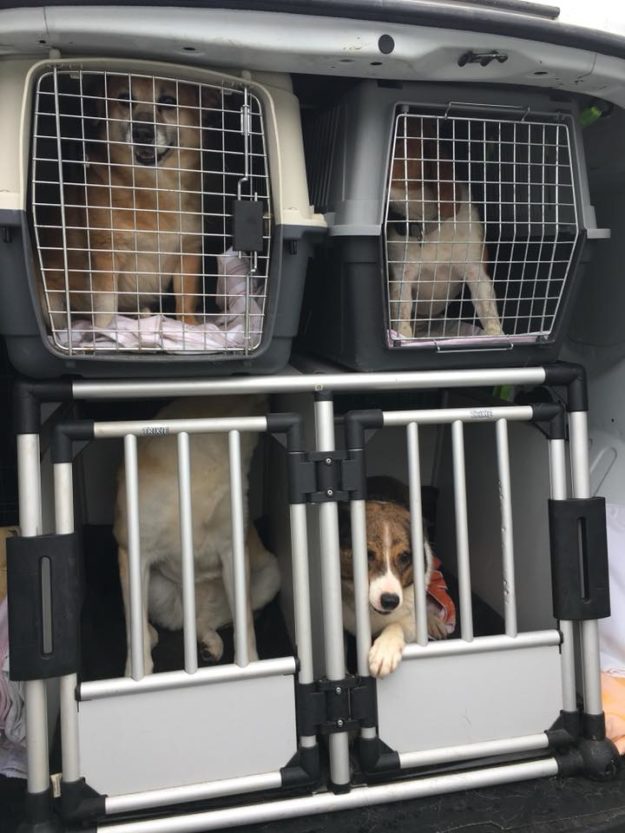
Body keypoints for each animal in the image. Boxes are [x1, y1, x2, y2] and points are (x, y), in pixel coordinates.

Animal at [39, 74, 213, 331]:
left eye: (168, 101)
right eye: (125, 99)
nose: (142, 132)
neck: (154, 186)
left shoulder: (188, 251)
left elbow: (186, 297)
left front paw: (189, 325)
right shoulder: (106, 254)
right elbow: (105, 305)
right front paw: (103, 332)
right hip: (53, 300)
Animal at [113, 395, 280, 676]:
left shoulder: (233, 549)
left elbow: (245, 625)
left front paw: (251, 665)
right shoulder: (134, 550)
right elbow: (135, 633)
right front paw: (137, 675)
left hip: (270, 574)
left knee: (208, 621)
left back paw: (209, 643)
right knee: (147, 627)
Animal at [339, 476, 448, 679]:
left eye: (404, 557)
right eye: (367, 555)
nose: (390, 601)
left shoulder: (410, 625)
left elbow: (397, 625)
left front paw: (384, 651)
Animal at [387, 120, 503, 339]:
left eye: (398, 138)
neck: (427, 224)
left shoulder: (476, 271)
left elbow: (489, 311)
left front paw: (497, 335)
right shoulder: (401, 277)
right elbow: (402, 317)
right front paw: (404, 338)